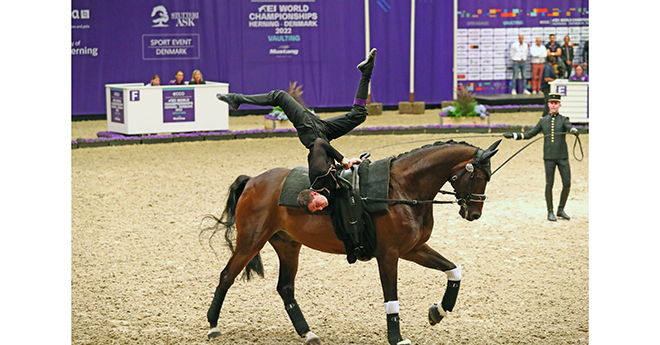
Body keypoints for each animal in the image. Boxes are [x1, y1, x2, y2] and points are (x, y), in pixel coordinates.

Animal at [201, 138, 500, 342]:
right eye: (479, 175)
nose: (473, 213)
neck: (400, 188)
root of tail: (253, 180)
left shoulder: (413, 248)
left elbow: (453, 270)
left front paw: (439, 311)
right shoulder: (389, 254)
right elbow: (391, 298)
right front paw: (397, 338)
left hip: (287, 245)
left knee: (285, 288)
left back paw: (308, 333)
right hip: (251, 241)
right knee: (226, 276)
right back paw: (213, 326)